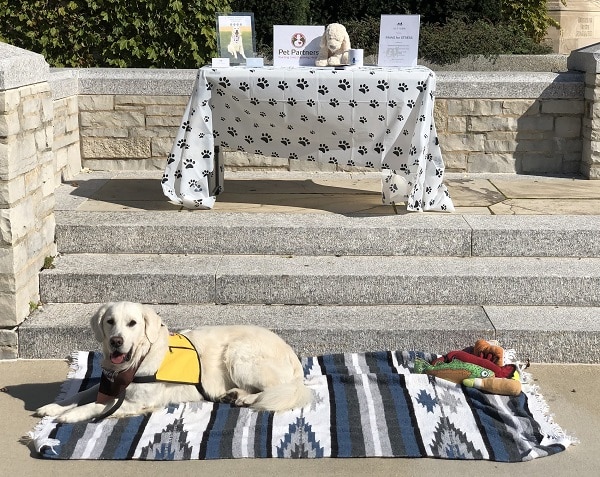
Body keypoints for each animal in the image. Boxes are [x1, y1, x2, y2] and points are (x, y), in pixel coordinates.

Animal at [36, 300, 314, 422]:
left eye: (132, 323)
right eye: (110, 321)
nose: (116, 341)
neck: (136, 361)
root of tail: (292, 355)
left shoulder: (137, 401)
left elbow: (96, 405)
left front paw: (70, 415)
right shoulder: (108, 383)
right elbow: (82, 394)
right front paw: (54, 407)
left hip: (239, 353)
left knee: (274, 390)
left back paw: (246, 398)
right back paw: (234, 395)